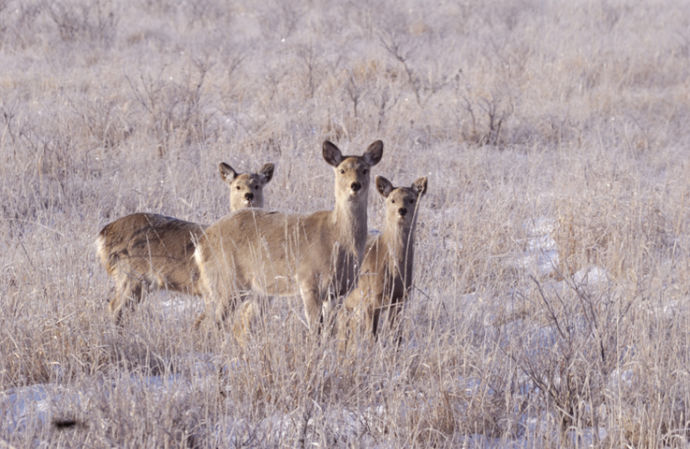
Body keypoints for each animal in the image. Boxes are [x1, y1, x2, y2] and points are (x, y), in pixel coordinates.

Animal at [97, 161, 274, 322]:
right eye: (237, 186)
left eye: (257, 185)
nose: (249, 196)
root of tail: (103, 233)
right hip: (130, 274)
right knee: (114, 308)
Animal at [192, 140, 382, 332]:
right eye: (342, 170)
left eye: (365, 169)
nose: (355, 185)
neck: (338, 239)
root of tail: (201, 244)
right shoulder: (309, 281)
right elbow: (315, 328)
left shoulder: (339, 291)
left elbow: (329, 330)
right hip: (225, 280)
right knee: (210, 322)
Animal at [338, 173, 428, 348]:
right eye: (392, 200)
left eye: (412, 199)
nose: (402, 210)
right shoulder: (369, 299)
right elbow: (372, 337)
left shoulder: (400, 300)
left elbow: (397, 337)